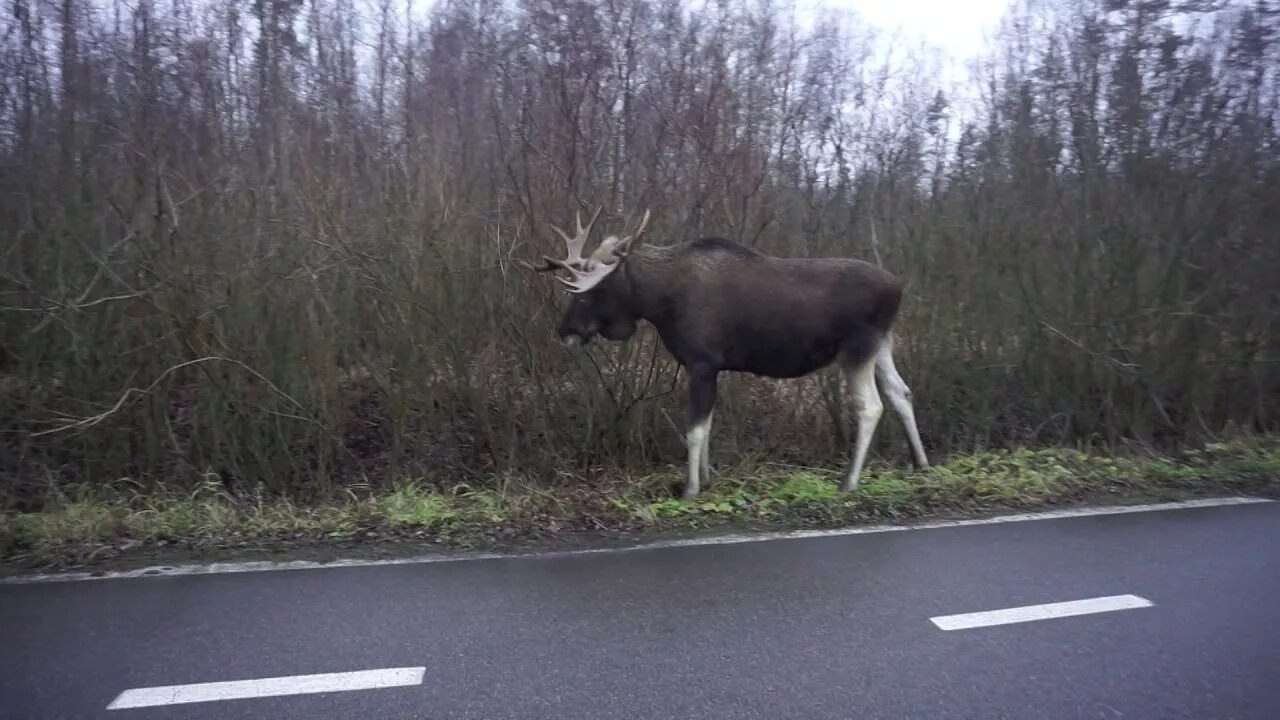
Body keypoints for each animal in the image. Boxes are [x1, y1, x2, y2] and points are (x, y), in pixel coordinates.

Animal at [522, 206, 931, 499]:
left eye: (593, 290)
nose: (565, 330)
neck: (659, 302)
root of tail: (899, 289)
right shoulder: (709, 368)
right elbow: (707, 426)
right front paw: (705, 480)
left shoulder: (703, 363)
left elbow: (694, 430)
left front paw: (689, 489)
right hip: (882, 345)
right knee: (902, 392)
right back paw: (921, 464)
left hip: (856, 349)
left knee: (871, 406)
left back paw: (849, 482)